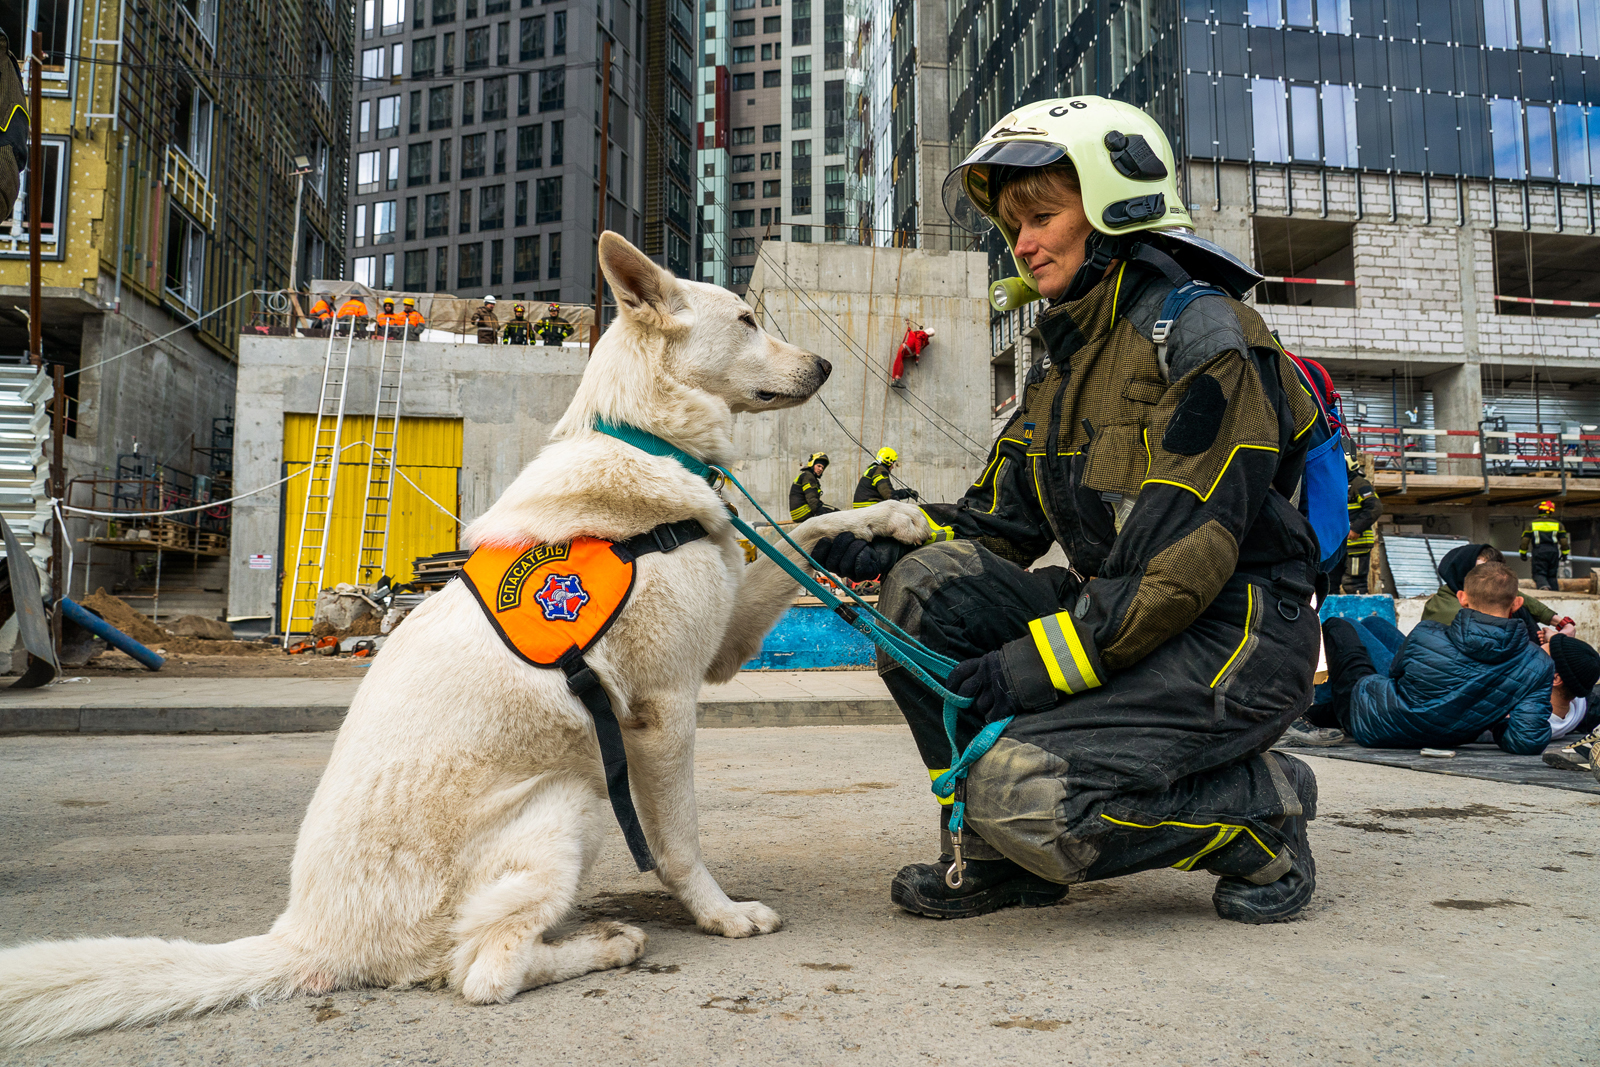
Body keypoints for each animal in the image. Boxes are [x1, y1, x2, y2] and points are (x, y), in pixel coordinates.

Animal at [0, 231, 928, 1043]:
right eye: (744, 318)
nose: (825, 367)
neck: (645, 437)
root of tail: (313, 938)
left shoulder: (726, 640)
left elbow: (811, 528)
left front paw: (896, 520)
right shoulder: (666, 711)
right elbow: (680, 842)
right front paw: (721, 914)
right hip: (571, 799)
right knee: (482, 970)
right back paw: (606, 942)